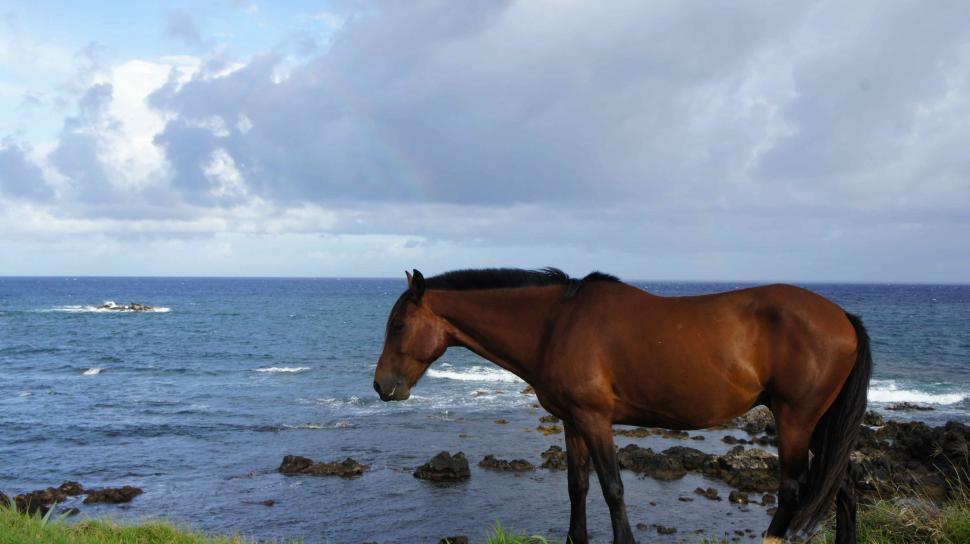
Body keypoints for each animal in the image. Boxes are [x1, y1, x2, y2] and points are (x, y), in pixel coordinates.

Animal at [373, 268, 871, 544]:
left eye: (398, 325)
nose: (381, 386)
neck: (556, 324)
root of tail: (842, 317)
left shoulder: (596, 419)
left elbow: (613, 488)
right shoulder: (572, 421)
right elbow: (577, 487)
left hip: (795, 419)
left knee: (794, 490)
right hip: (820, 423)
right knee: (842, 487)